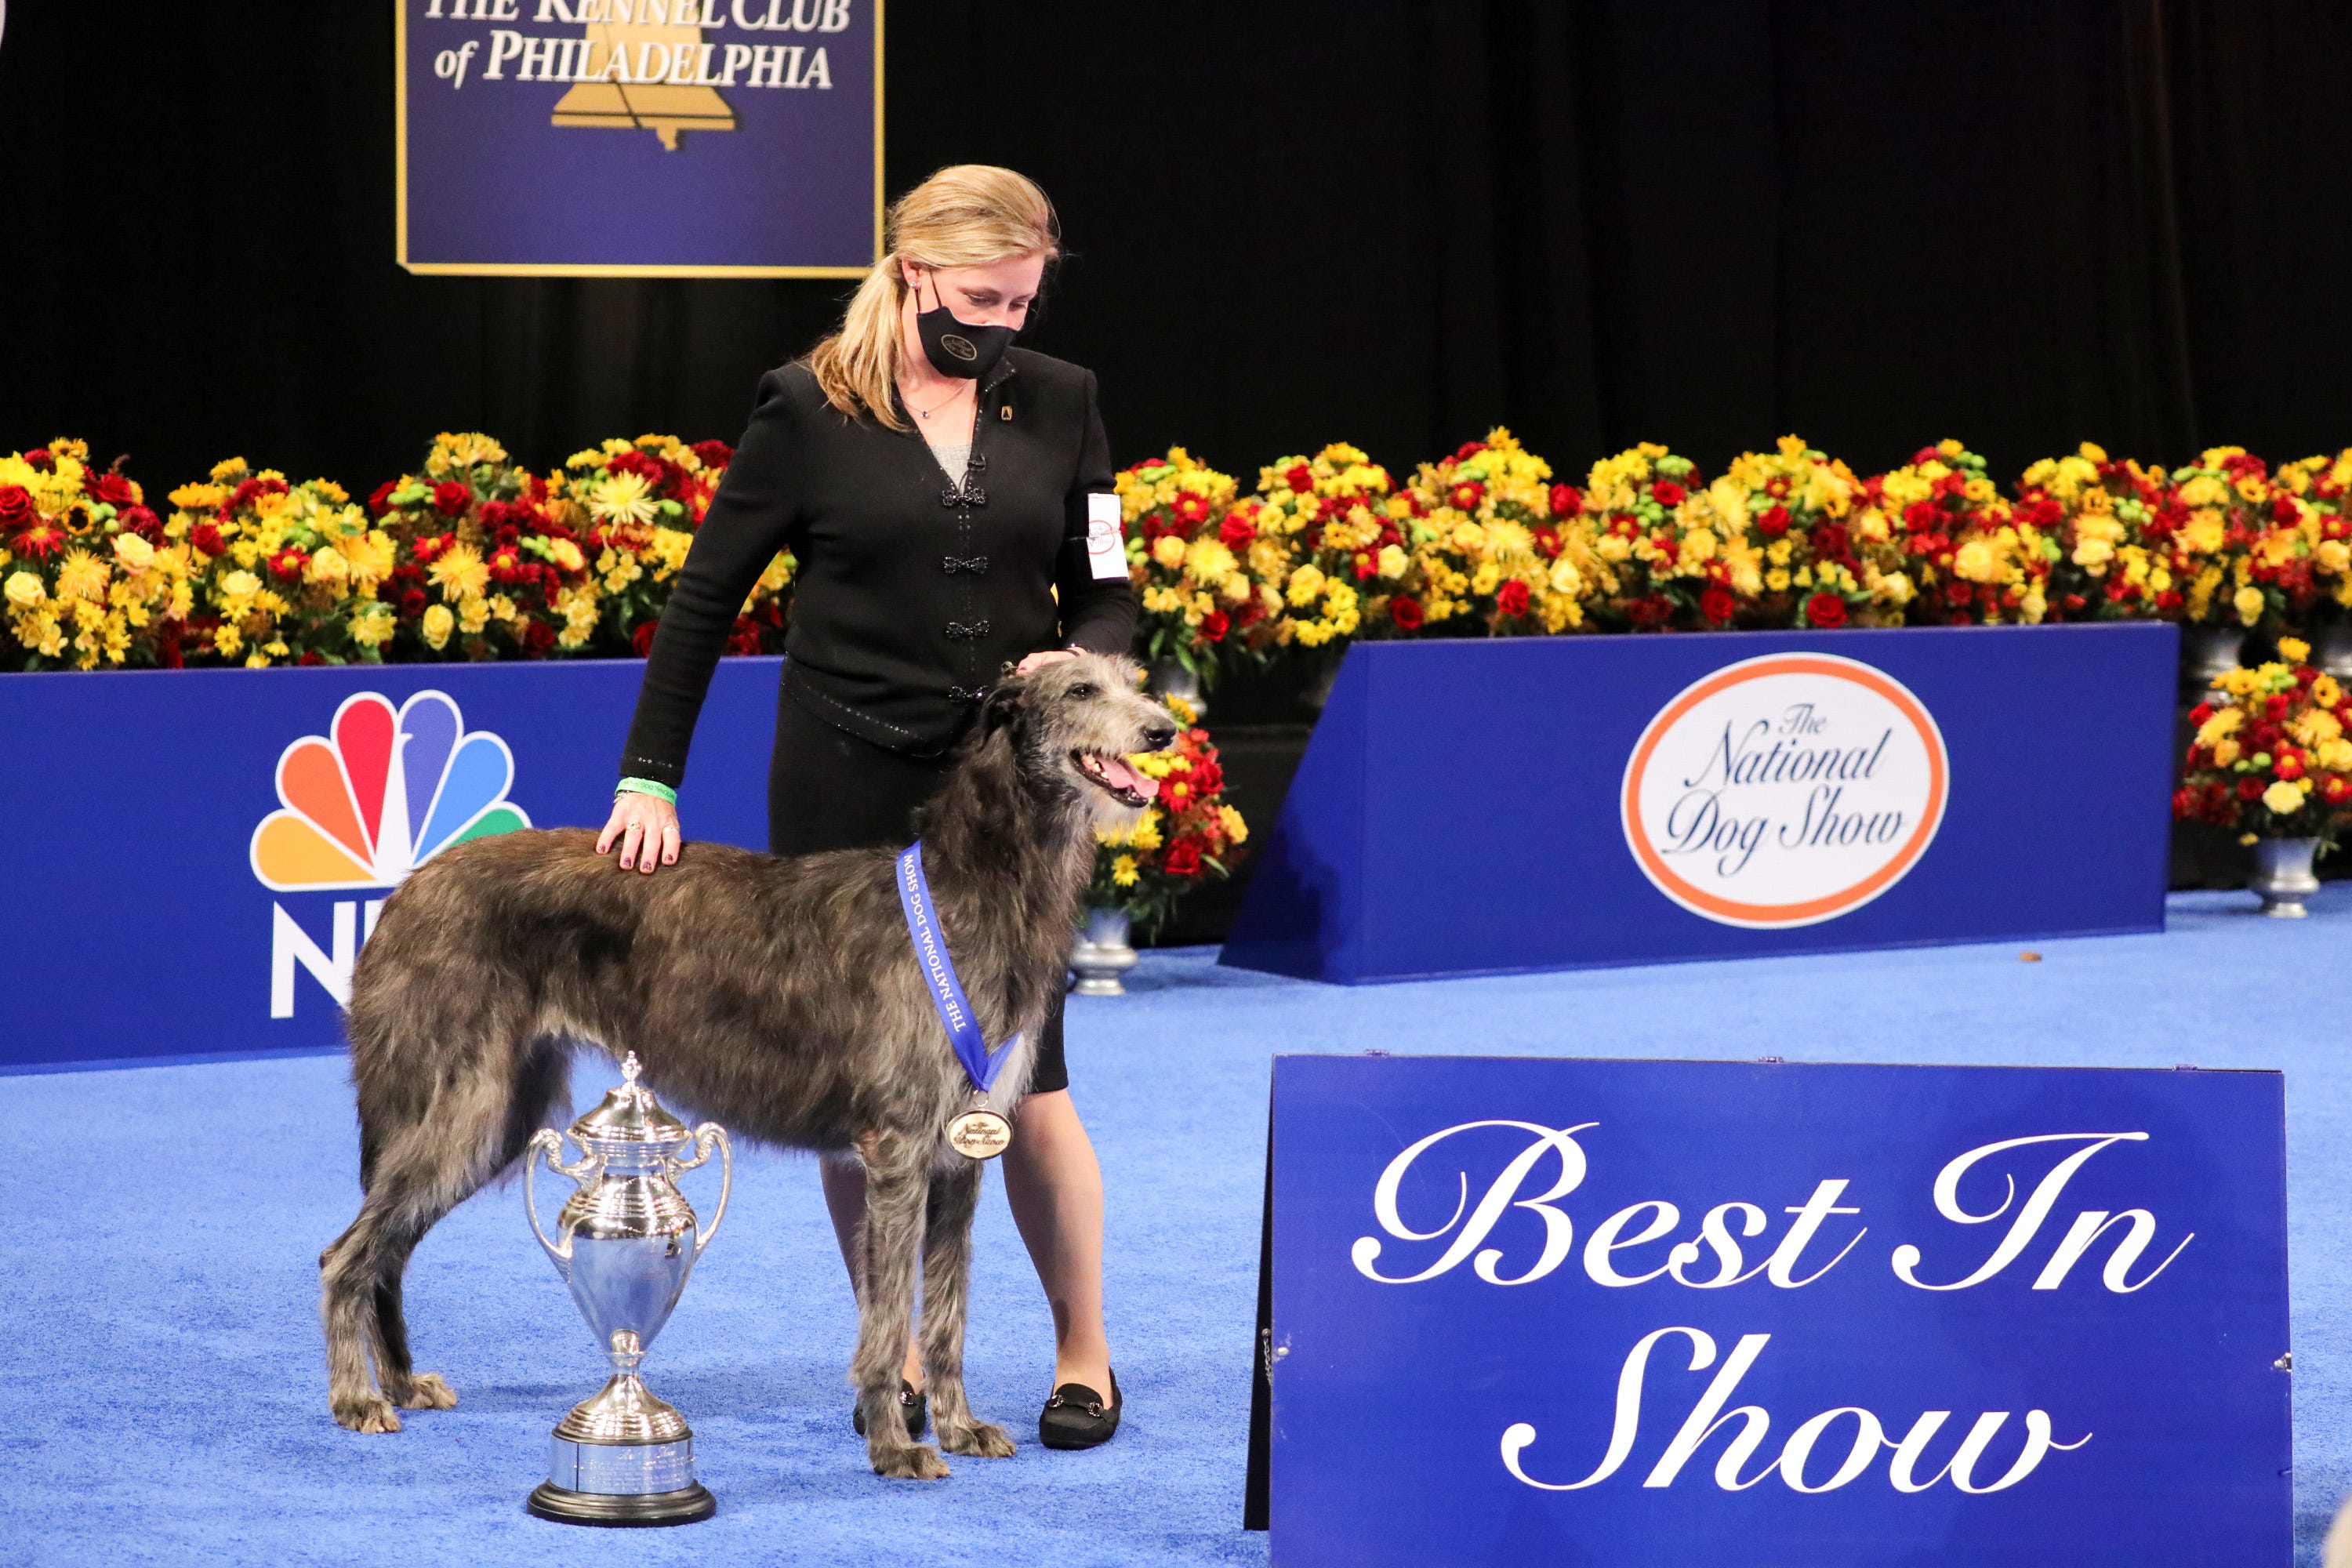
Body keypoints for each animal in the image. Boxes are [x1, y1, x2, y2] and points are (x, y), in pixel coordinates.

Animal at [318, 653, 1176, 1486]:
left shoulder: (964, 1147)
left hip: (502, 1111)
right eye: (1081, 688)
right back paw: (357, 1395)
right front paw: (894, 1446)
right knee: (346, 1254)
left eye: (1134, 680)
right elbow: (889, 1315)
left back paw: (400, 1380)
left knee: (389, 1248)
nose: (1165, 730)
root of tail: (410, 888)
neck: (971, 882)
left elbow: (946, 1312)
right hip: (469, 1101)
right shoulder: (899, 1147)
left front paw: (960, 1426)